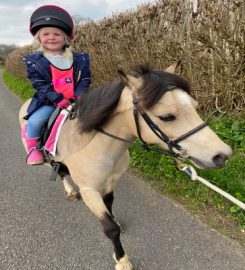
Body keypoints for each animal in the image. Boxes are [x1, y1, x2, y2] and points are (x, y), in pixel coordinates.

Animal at [19, 62, 232, 270]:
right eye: (166, 117)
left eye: (194, 107)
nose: (222, 155)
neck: (99, 147)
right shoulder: (89, 191)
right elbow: (110, 228)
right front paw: (122, 260)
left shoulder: (111, 182)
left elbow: (110, 206)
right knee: (60, 171)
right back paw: (70, 191)